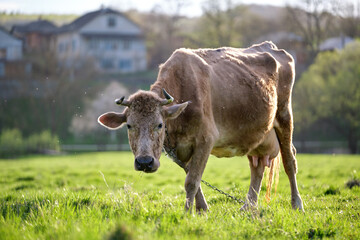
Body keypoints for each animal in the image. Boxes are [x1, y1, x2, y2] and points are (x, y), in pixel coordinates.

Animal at [97, 41, 304, 212]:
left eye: (160, 125)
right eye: (129, 126)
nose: (144, 162)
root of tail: (272, 47)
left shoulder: (206, 139)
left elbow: (191, 181)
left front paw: (187, 213)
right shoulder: (179, 149)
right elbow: (192, 177)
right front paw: (202, 209)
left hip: (284, 115)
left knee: (289, 160)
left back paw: (297, 204)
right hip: (256, 134)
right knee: (258, 167)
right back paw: (248, 207)